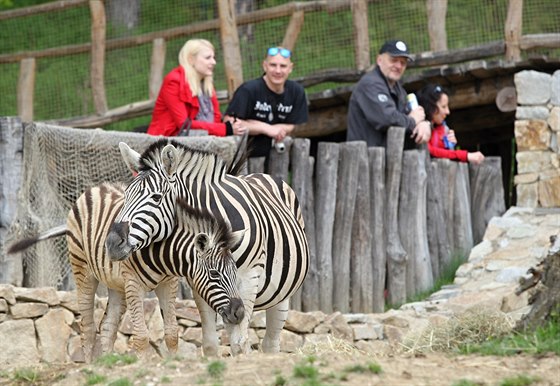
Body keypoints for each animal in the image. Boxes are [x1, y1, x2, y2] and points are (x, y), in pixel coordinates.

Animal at [6, 183, 243, 362]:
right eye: (214, 274)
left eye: (235, 272)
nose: (239, 313)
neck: (160, 251)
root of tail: (97, 187)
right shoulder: (134, 285)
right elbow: (141, 336)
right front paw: (143, 365)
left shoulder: (168, 283)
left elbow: (172, 333)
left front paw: (172, 363)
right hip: (83, 269)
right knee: (88, 326)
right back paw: (91, 367)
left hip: (116, 285)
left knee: (107, 326)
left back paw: (107, 364)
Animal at [103, 139, 308, 356]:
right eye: (125, 196)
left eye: (156, 198)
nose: (112, 243)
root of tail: (259, 174)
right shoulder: (201, 280)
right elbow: (210, 342)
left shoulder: (248, 277)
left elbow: (240, 342)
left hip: (282, 295)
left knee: (270, 341)